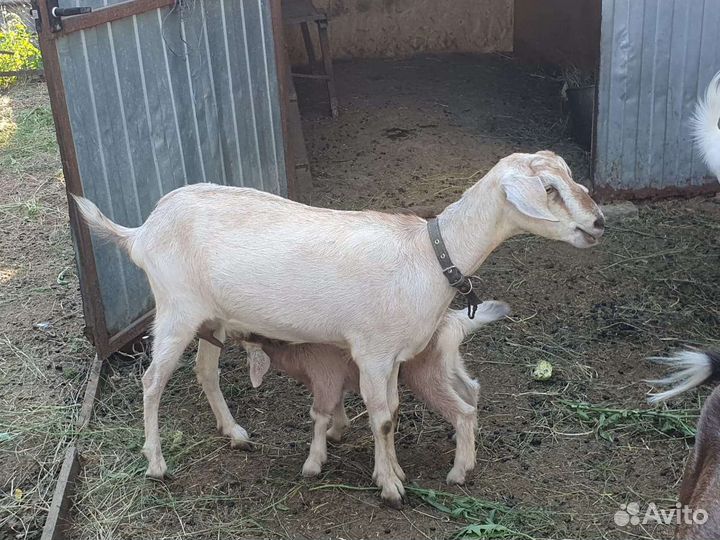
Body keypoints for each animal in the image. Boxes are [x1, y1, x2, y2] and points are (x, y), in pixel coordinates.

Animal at [244, 301, 510, 485]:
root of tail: (454, 321)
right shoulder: (335, 382)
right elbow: (337, 405)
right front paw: (337, 431)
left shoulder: (324, 378)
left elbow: (318, 414)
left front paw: (313, 463)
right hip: (446, 366)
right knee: (471, 389)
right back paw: (466, 444)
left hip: (426, 377)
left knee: (463, 411)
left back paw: (458, 471)